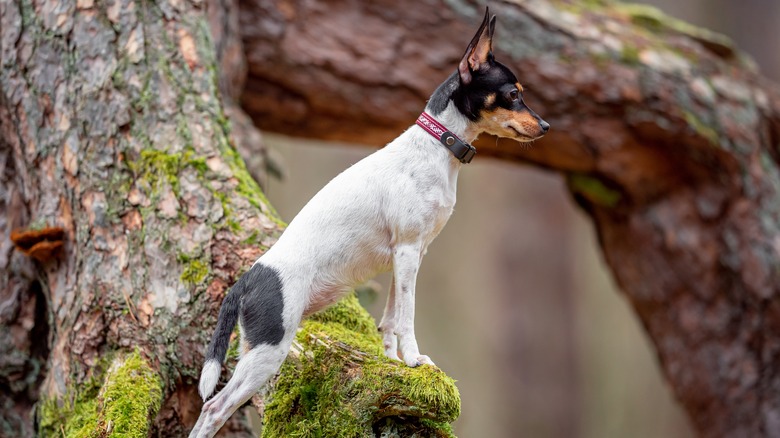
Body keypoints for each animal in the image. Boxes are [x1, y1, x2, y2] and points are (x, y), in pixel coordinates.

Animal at [187, 8, 548, 436]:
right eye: (513, 93)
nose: (546, 127)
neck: (434, 149)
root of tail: (246, 280)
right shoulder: (408, 251)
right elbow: (407, 317)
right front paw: (414, 359)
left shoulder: (408, 256)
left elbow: (390, 318)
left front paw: (392, 361)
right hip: (268, 352)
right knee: (214, 408)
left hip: (254, 351)